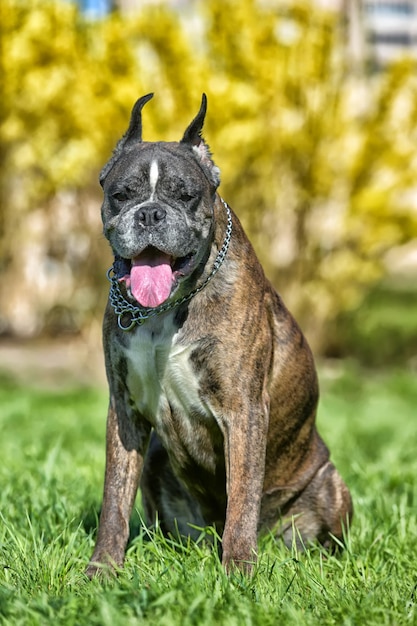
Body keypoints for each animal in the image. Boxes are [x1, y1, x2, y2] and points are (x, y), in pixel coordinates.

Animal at [86, 92, 352, 576]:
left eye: (185, 195)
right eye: (121, 195)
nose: (150, 213)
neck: (169, 308)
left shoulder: (243, 410)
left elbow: (242, 497)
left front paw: (238, 572)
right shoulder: (126, 410)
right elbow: (114, 500)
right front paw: (102, 570)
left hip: (328, 482)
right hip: (158, 462)